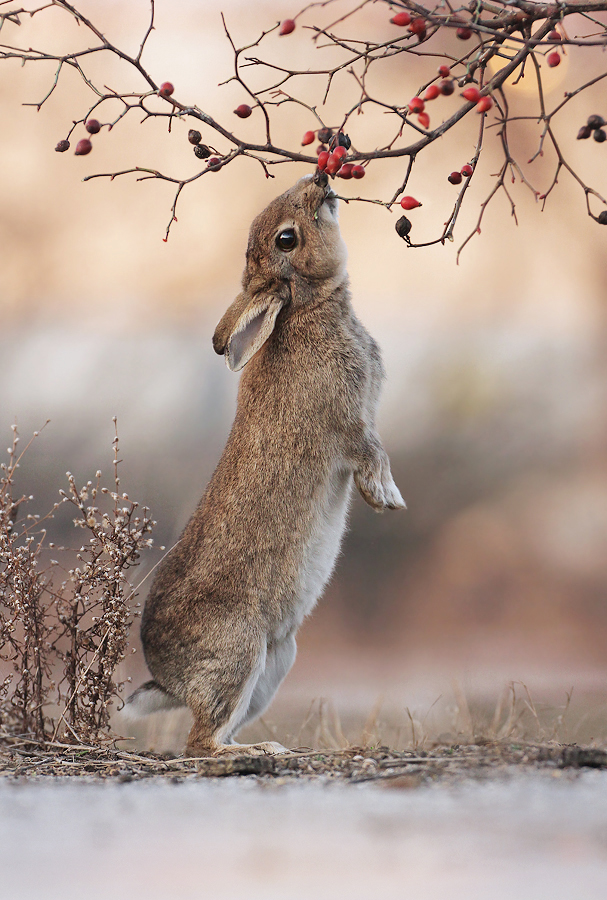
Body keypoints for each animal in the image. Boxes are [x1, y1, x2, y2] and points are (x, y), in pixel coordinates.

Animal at [124, 172, 406, 756]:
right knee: (200, 742)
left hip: (277, 661)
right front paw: (387, 499)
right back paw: (258, 751)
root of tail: (166, 678)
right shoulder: (348, 424)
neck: (306, 306)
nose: (319, 179)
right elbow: (373, 453)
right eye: (287, 239)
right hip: (240, 650)